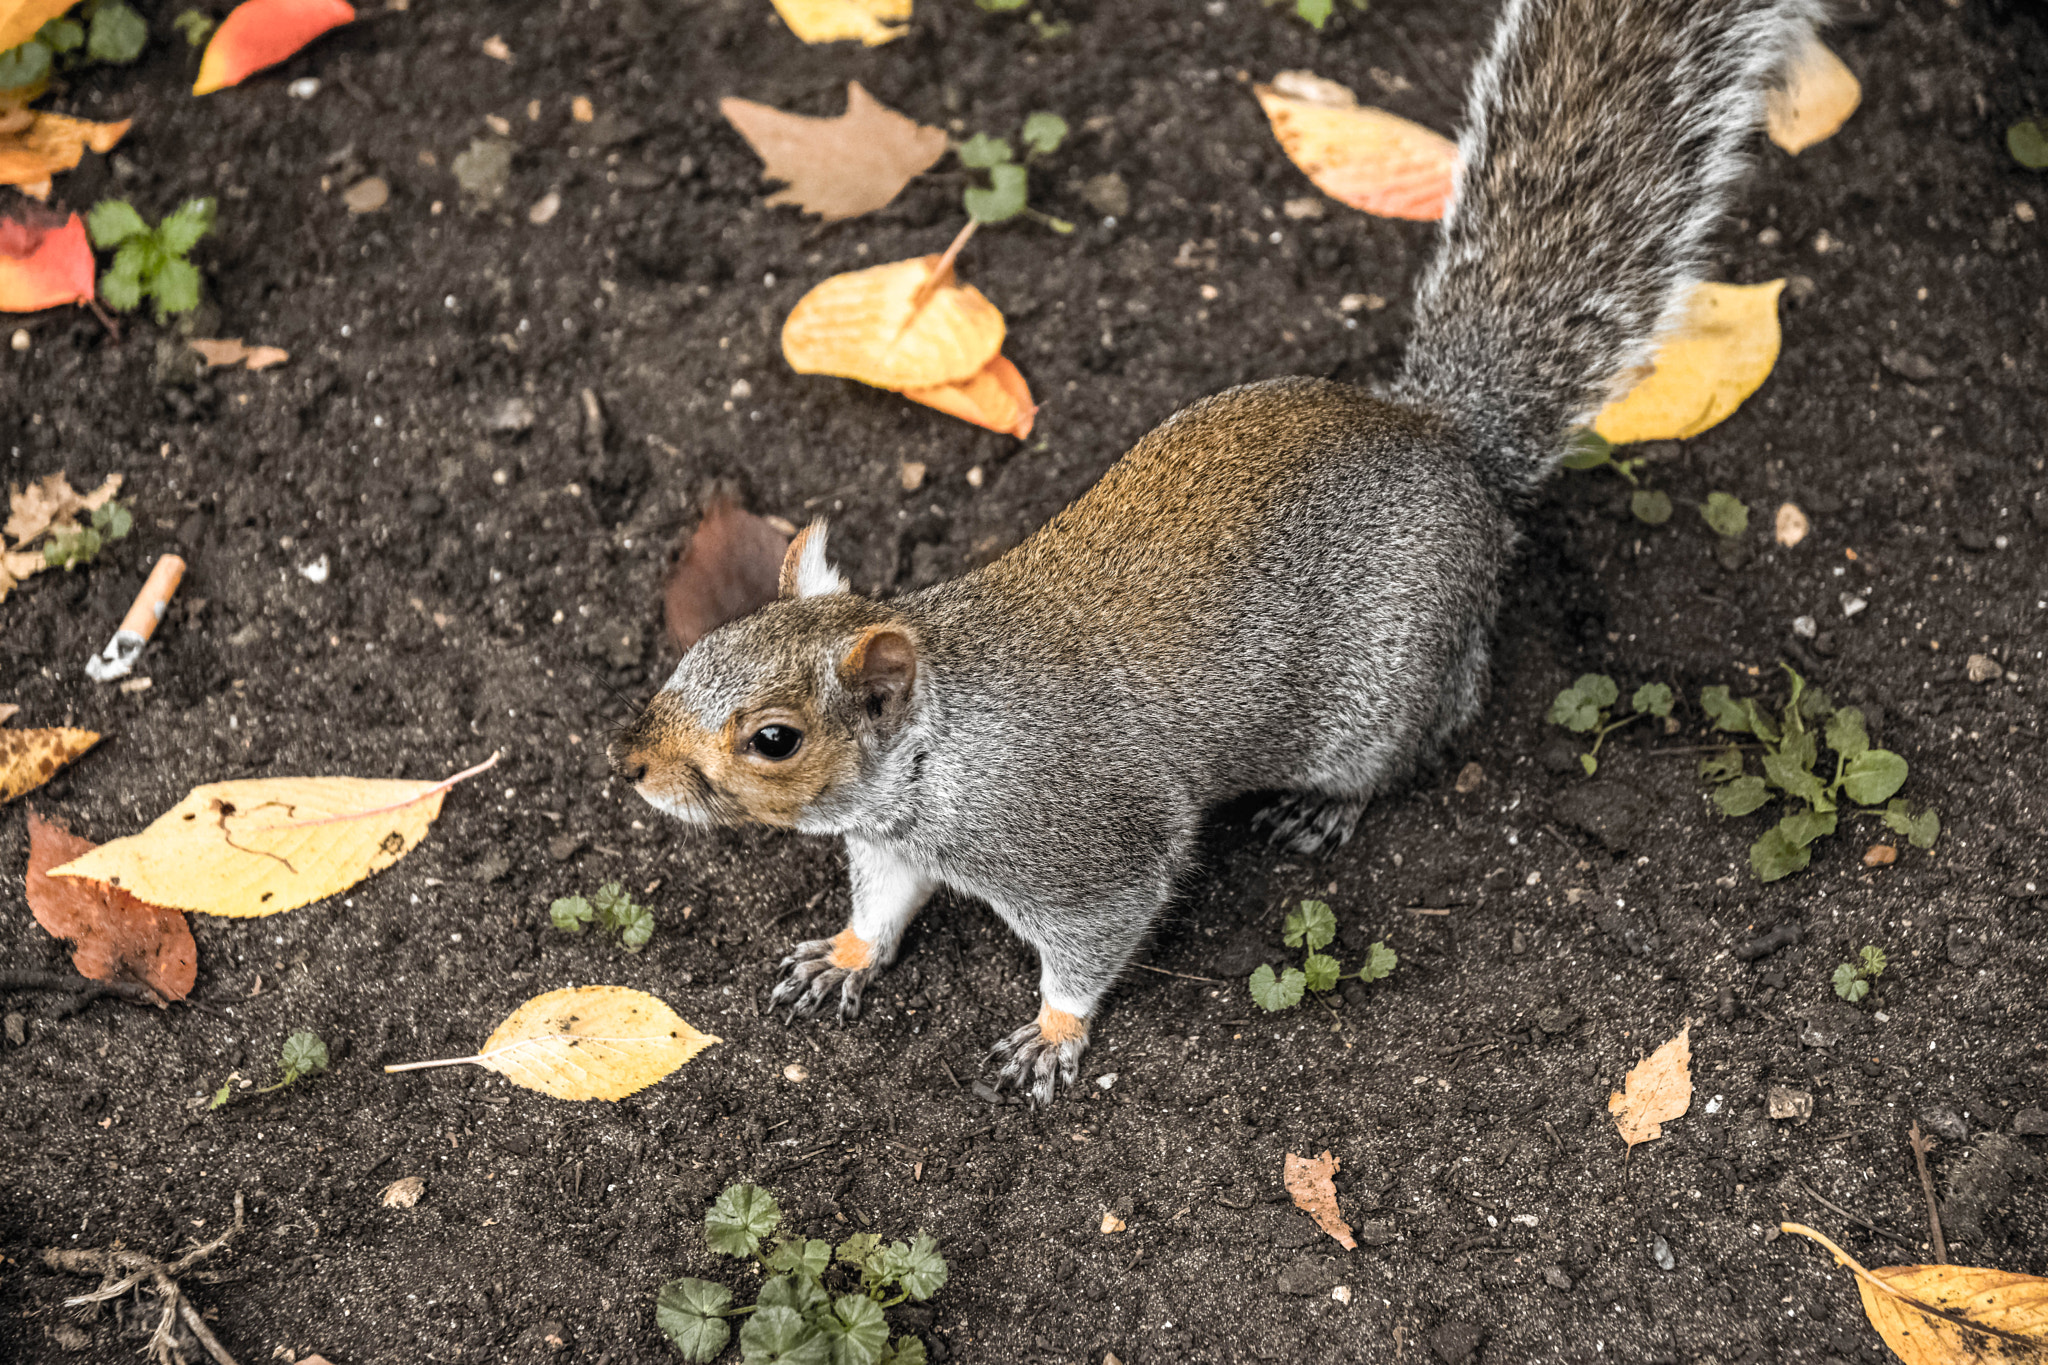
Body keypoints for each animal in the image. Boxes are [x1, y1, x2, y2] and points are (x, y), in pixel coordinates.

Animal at [610, 0, 1826, 1105]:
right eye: (698, 648)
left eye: (773, 739)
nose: (635, 769)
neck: (938, 749)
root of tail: (1449, 442)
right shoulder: (897, 845)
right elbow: (881, 904)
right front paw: (846, 957)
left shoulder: (1084, 848)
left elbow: (1094, 939)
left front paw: (1053, 1033)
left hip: (1386, 684)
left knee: (1432, 723)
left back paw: (1328, 804)